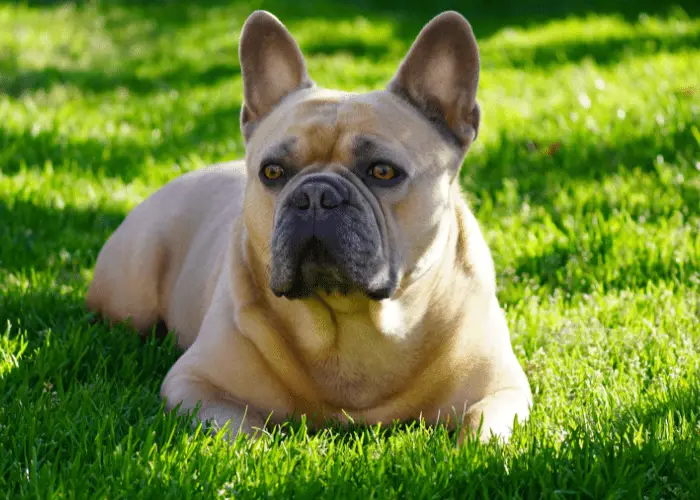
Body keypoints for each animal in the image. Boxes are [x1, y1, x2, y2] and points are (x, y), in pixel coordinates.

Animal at [89, 9, 536, 442]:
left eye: (383, 171)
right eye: (272, 172)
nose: (316, 195)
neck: (353, 321)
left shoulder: (503, 391)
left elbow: (482, 431)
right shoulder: (195, 383)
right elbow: (237, 432)